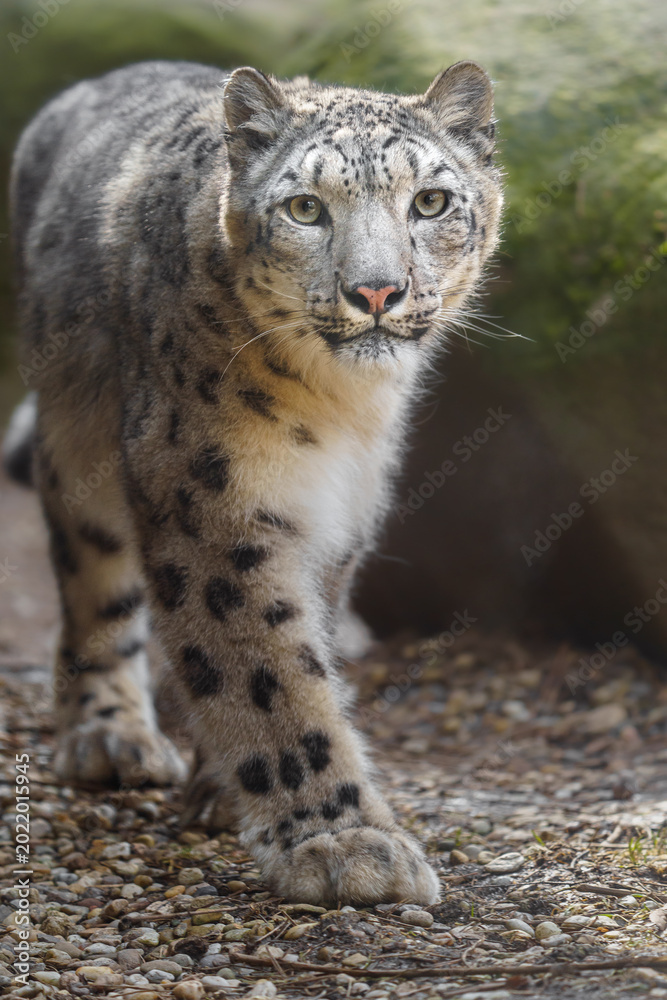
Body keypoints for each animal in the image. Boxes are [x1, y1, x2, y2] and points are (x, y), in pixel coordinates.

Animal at [3, 58, 502, 905]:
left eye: (430, 201)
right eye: (305, 208)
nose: (376, 292)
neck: (341, 409)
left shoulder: (340, 520)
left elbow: (298, 647)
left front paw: (222, 790)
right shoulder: (214, 507)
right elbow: (268, 670)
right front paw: (344, 844)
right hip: (77, 451)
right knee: (92, 586)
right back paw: (109, 736)